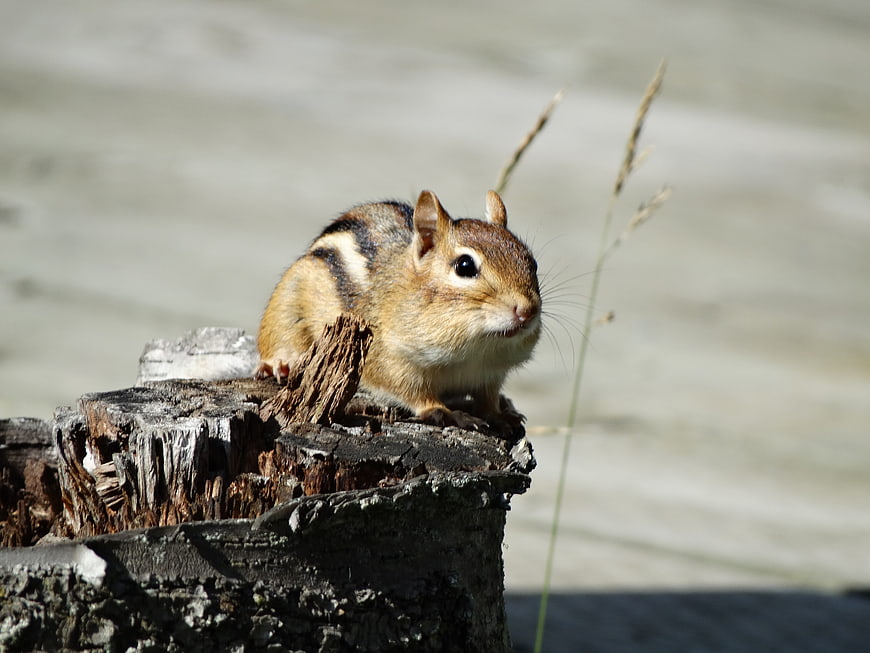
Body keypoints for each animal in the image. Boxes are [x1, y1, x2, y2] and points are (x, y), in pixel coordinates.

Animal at [256, 190, 541, 431]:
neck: (476, 349)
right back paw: (280, 364)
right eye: (464, 266)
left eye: (532, 261)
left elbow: (489, 399)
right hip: (287, 301)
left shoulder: (491, 375)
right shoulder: (388, 357)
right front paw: (448, 413)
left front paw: (501, 415)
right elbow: (414, 393)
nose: (526, 311)